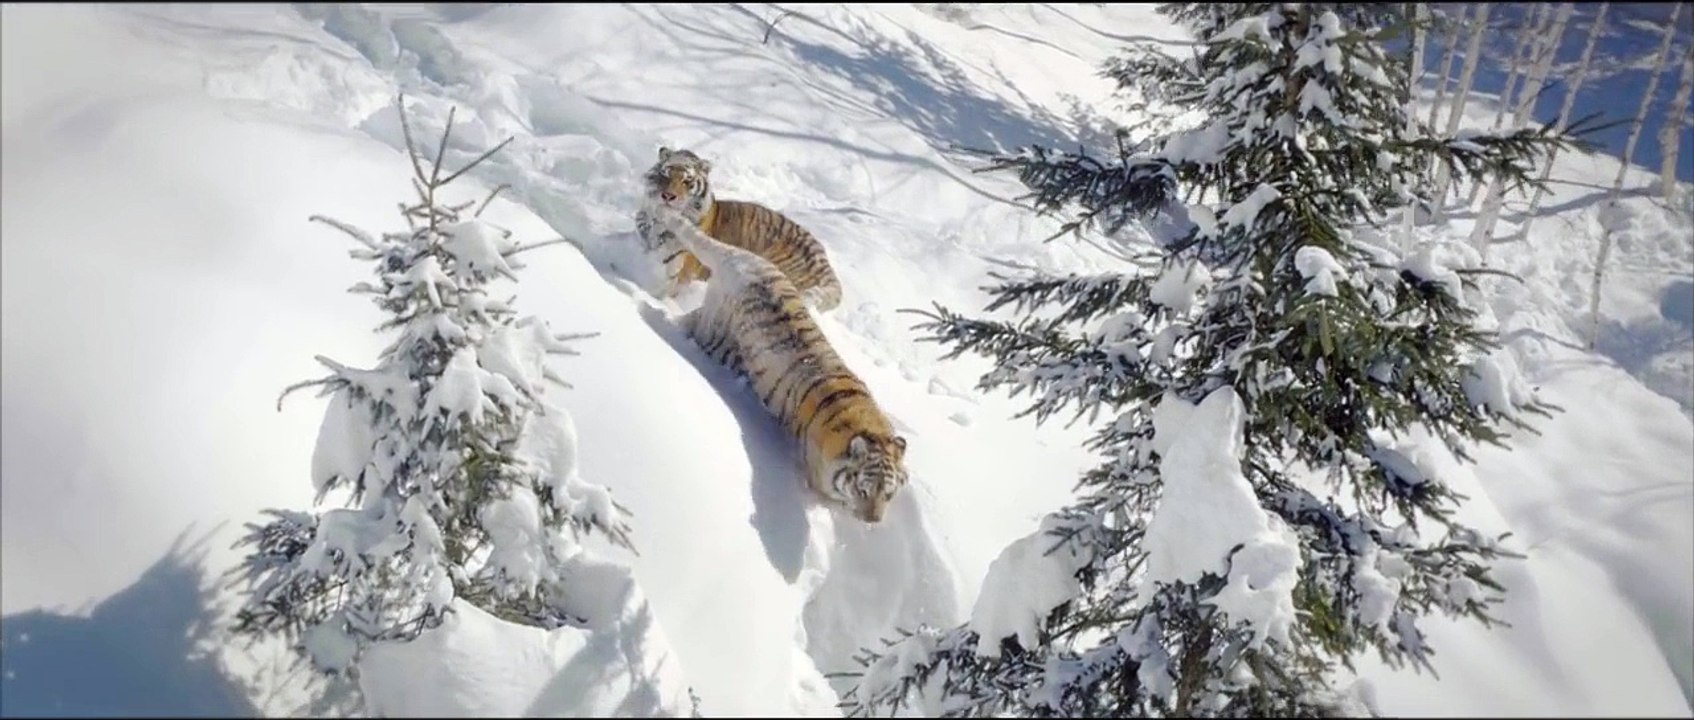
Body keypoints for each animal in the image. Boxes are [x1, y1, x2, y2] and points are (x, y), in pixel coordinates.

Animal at [634, 146, 844, 312]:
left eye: (687, 181)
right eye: (666, 174)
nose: (668, 196)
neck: (659, 222)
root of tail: (822, 258)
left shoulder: (683, 268)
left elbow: (670, 288)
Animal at [647, 204, 907, 523]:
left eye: (889, 494)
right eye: (863, 490)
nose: (873, 521)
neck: (869, 428)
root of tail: (745, 261)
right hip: (714, 328)